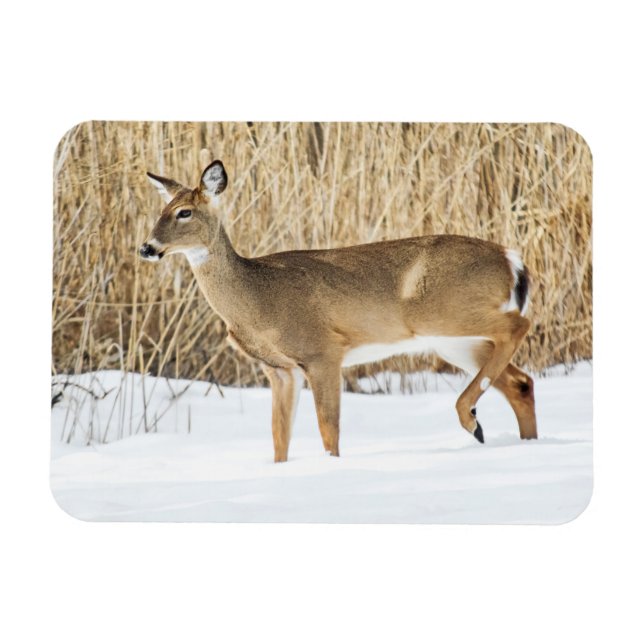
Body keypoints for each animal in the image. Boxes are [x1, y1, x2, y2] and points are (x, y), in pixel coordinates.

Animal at [139, 160, 537, 462]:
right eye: (160, 211)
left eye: (184, 212)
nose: (146, 247)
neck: (257, 298)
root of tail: (512, 260)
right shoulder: (280, 369)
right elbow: (279, 438)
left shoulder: (323, 351)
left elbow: (327, 429)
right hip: (451, 340)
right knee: (520, 381)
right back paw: (517, 439)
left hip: (444, 313)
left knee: (520, 325)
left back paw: (471, 419)